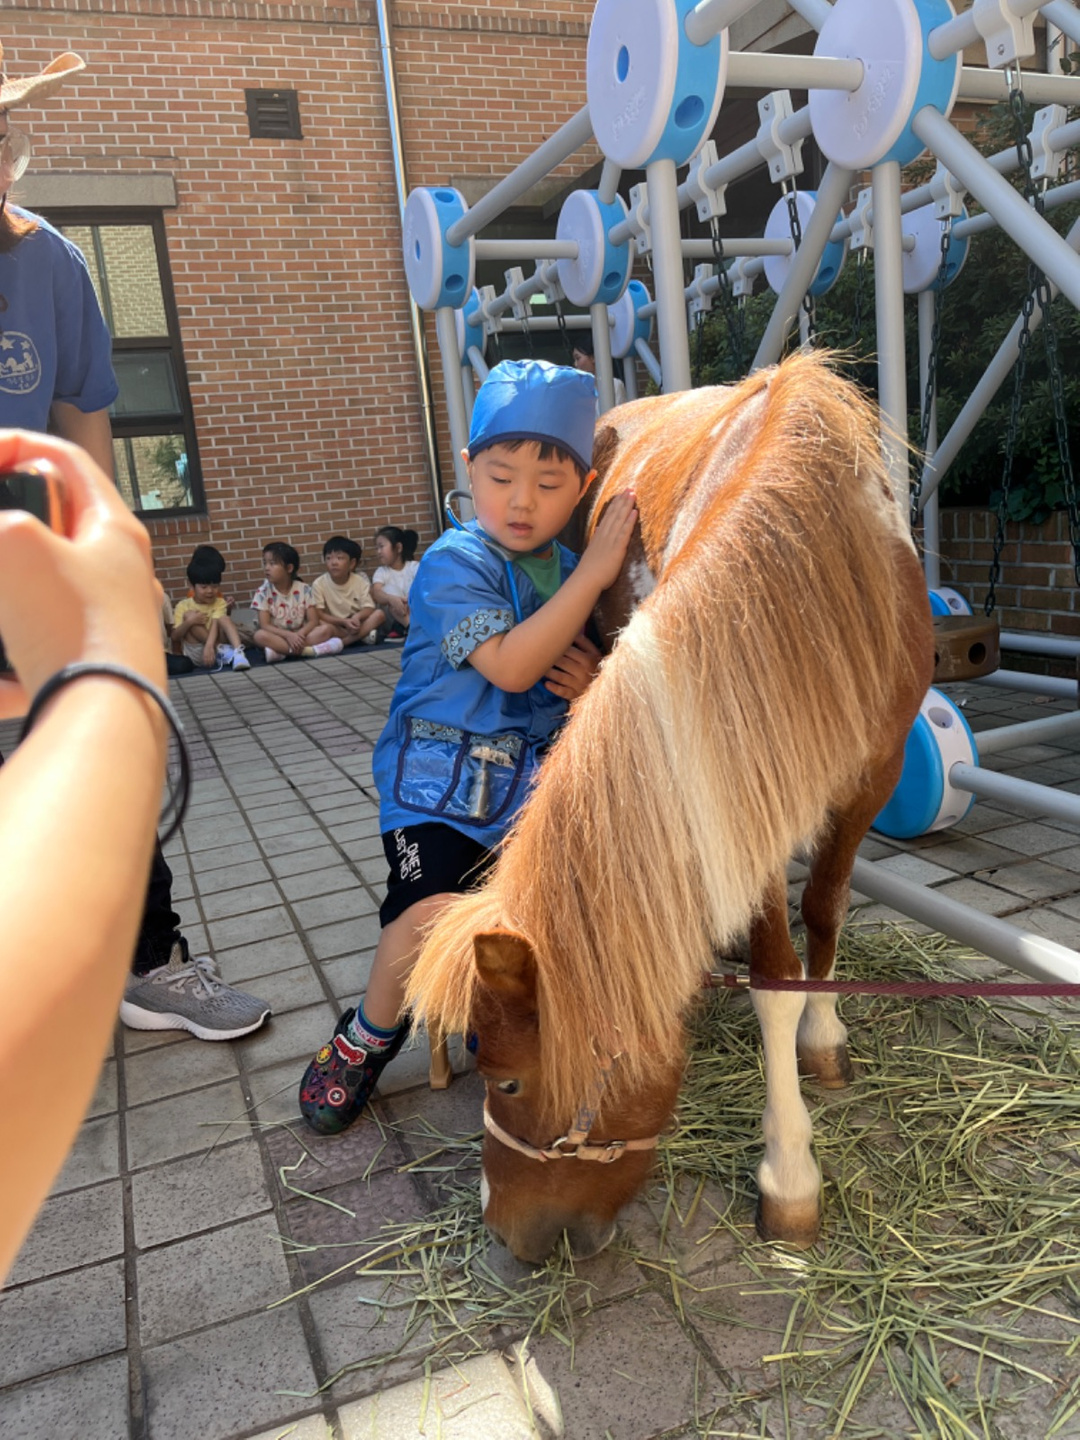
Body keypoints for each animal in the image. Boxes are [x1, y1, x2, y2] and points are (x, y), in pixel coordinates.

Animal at [408, 357, 933, 1261]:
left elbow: (822, 920)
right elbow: (775, 969)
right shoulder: (738, 801)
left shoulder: (871, 775)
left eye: (506, 1079)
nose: (502, 1227)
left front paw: (815, 1067)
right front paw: (791, 1165)